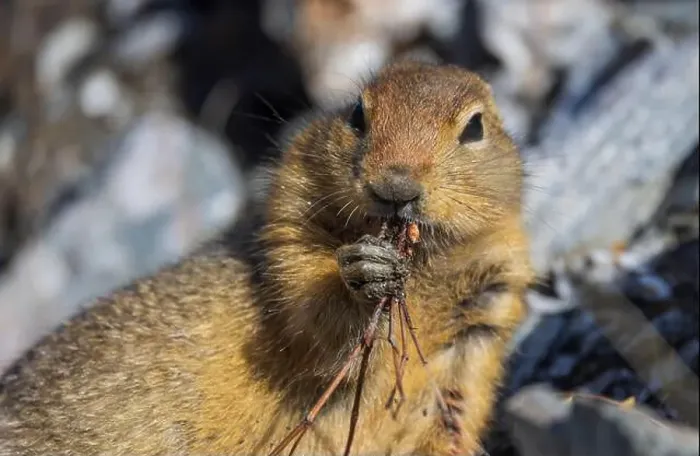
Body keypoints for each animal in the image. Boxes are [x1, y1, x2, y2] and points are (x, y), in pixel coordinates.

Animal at [0, 60, 534, 455]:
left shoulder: (484, 323)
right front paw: (365, 275)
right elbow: (314, 323)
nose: (394, 186)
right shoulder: (286, 240)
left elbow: (453, 414)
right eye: (357, 114)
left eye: (475, 127)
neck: (424, 270)